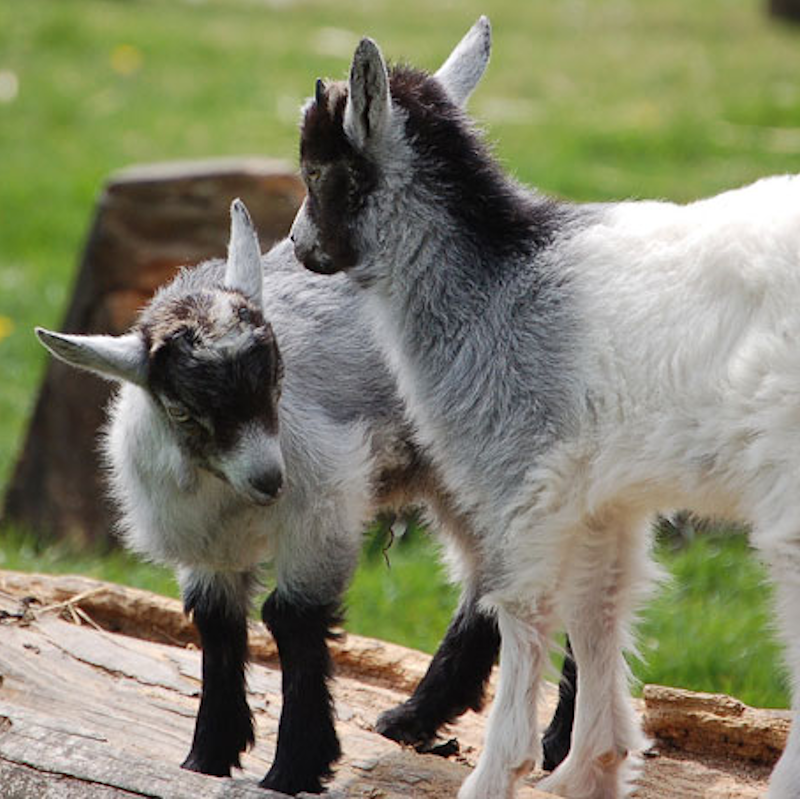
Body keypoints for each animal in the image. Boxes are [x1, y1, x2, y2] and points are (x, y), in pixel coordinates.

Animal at [36, 199, 575, 794]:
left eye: (277, 378)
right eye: (182, 410)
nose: (271, 480)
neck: (230, 496)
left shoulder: (323, 507)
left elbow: (290, 616)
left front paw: (293, 767)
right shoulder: (206, 545)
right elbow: (215, 621)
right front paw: (208, 756)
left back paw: (560, 743)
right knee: (492, 579)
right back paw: (414, 717)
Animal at [291, 15, 800, 798]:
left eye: (317, 171)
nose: (299, 247)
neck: (497, 282)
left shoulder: (522, 480)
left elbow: (522, 608)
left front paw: (500, 771)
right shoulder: (603, 498)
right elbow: (600, 607)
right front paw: (593, 767)